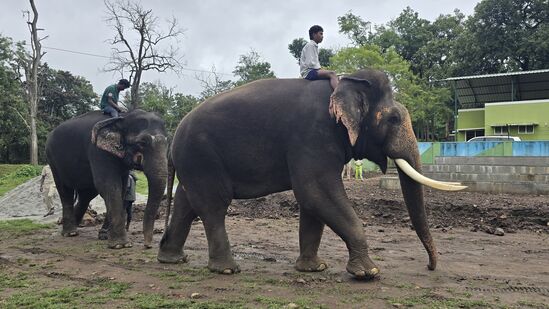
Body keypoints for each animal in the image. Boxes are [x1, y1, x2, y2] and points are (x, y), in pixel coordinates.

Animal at [158, 68, 462, 278]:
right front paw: (369, 273)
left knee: (186, 203)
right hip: (202, 156)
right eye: (394, 119)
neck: (347, 84)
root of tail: (173, 139)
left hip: (194, 163)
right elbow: (316, 192)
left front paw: (314, 268)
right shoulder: (313, 136)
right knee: (213, 206)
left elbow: (312, 202)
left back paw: (172, 259)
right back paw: (226, 269)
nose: (430, 267)